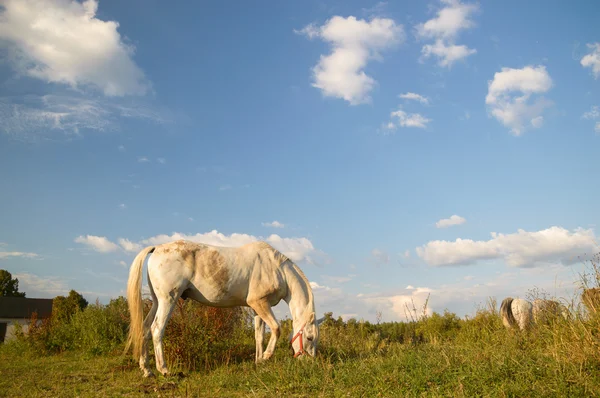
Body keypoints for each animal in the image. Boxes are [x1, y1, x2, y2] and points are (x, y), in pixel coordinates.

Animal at [125, 239, 322, 376]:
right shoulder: (260, 303)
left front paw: (258, 362)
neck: (276, 269)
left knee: (144, 329)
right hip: (168, 301)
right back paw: (164, 370)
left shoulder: (257, 308)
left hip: (157, 301)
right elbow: (276, 328)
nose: (310, 363)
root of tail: (157, 248)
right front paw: (266, 356)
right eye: (309, 337)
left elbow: (259, 336)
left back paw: (147, 370)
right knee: (157, 329)